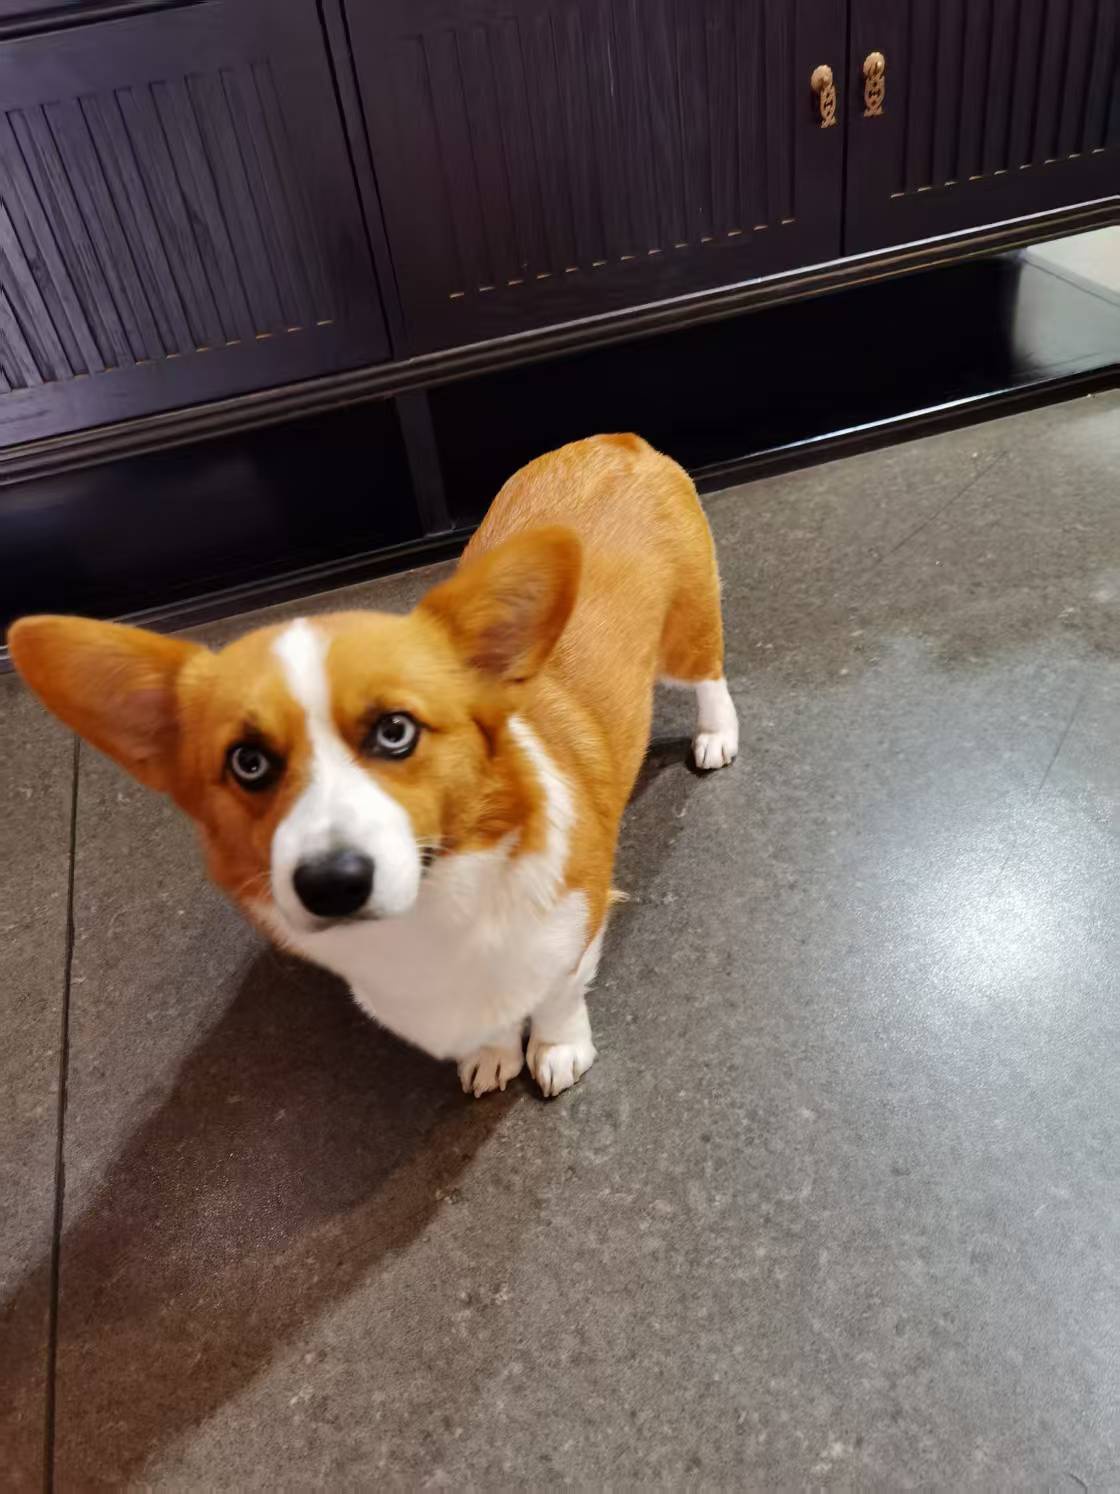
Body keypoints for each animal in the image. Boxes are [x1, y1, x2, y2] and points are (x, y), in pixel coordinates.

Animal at [10, 435, 738, 1097]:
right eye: (248, 762)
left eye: (395, 731)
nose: (332, 884)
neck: (433, 907)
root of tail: (613, 441)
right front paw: (494, 1053)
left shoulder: (574, 924)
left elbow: (557, 995)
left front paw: (557, 1049)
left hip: (687, 631)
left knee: (710, 675)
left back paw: (716, 736)